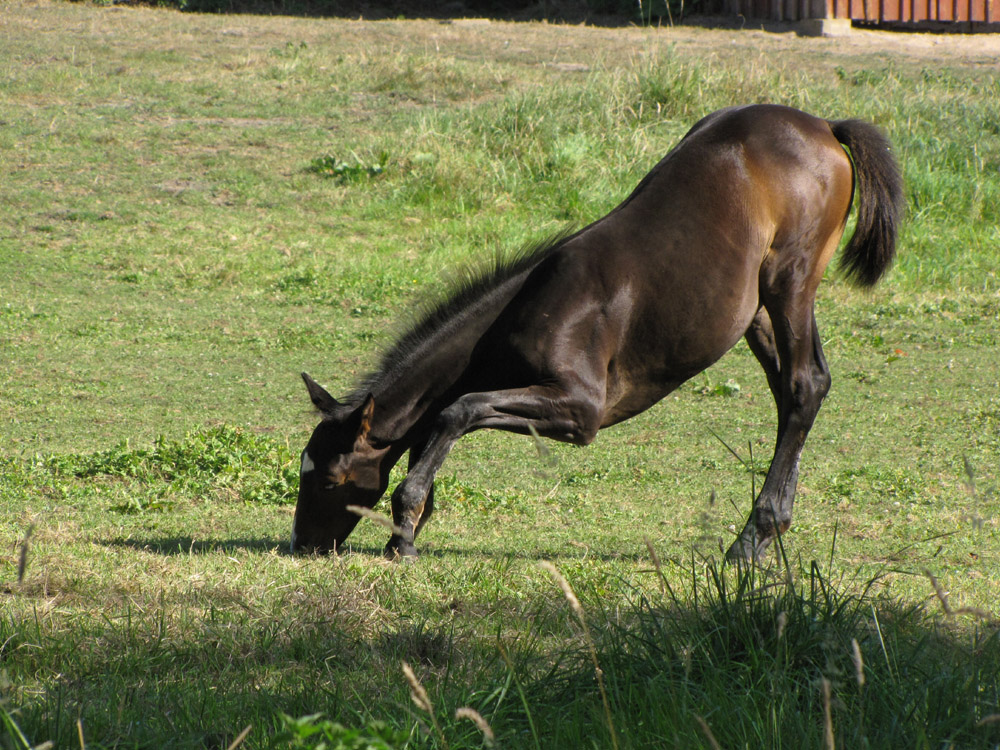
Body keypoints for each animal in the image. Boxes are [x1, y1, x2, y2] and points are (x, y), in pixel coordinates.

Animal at [292, 104, 908, 564]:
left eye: (328, 481)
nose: (301, 545)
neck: (526, 306)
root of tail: (824, 126)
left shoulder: (581, 408)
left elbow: (456, 410)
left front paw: (405, 533)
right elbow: (442, 421)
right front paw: (411, 525)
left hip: (790, 281)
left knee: (805, 385)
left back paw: (751, 539)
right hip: (755, 306)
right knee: (794, 392)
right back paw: (768, 535)